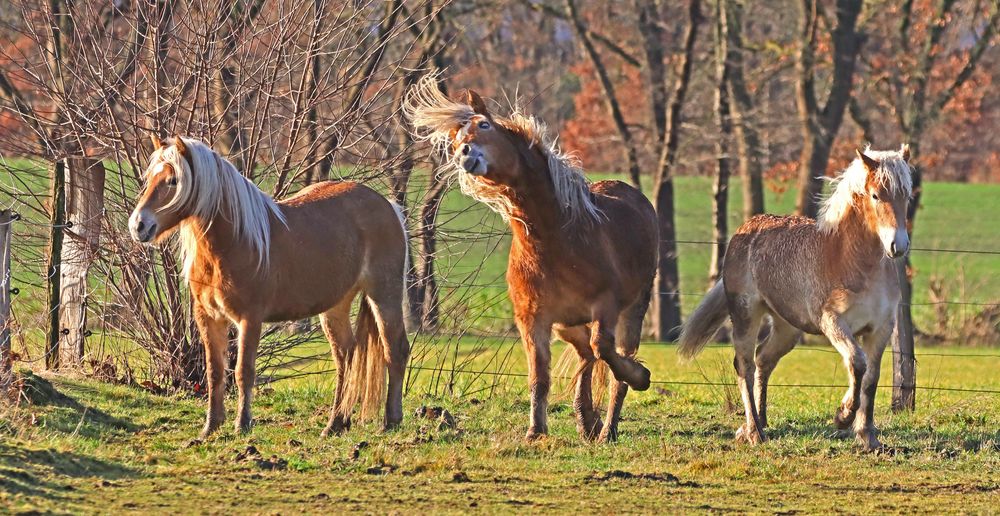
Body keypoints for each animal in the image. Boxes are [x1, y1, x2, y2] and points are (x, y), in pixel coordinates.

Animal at [130, 135, 410, 438]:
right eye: (149, 177)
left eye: (173, 181)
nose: (139, 225)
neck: (233, 242)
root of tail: (389, 207)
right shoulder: (209, 318)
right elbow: (214, 372)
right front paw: (210, 427)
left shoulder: (249, 319)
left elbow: (243, 372)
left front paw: (242, 424)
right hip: (336, 306)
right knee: (345, 356)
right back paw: (335, 423)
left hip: (384, 295)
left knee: (395, 350)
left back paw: (391, 420)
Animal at [404, 77, 656, 444]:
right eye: (454, 139)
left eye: (484, 125)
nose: (465, 154)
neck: (557, 238)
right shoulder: (532, 318)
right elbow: (540, 376)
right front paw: (536, 432)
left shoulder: (605, 307)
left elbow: (606, 353)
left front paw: (641, 377)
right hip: (567, 323)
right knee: (585, 355)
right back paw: (588, 421)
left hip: (632, 309)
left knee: (612, 364)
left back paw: (607, 427)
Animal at [680, 145, 916, 452]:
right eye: (876, 195)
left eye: (906, 195)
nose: (897, 245)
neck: (851, 261)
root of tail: (745, 230)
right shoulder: (832, 322)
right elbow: (857, 362)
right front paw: (843, 416)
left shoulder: (881, 328)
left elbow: (871, 377)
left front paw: (868, 436)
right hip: (745, 315)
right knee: (744, 365)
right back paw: (753, 432)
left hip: (787, 328)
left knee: (763, 359)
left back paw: (759, 422)